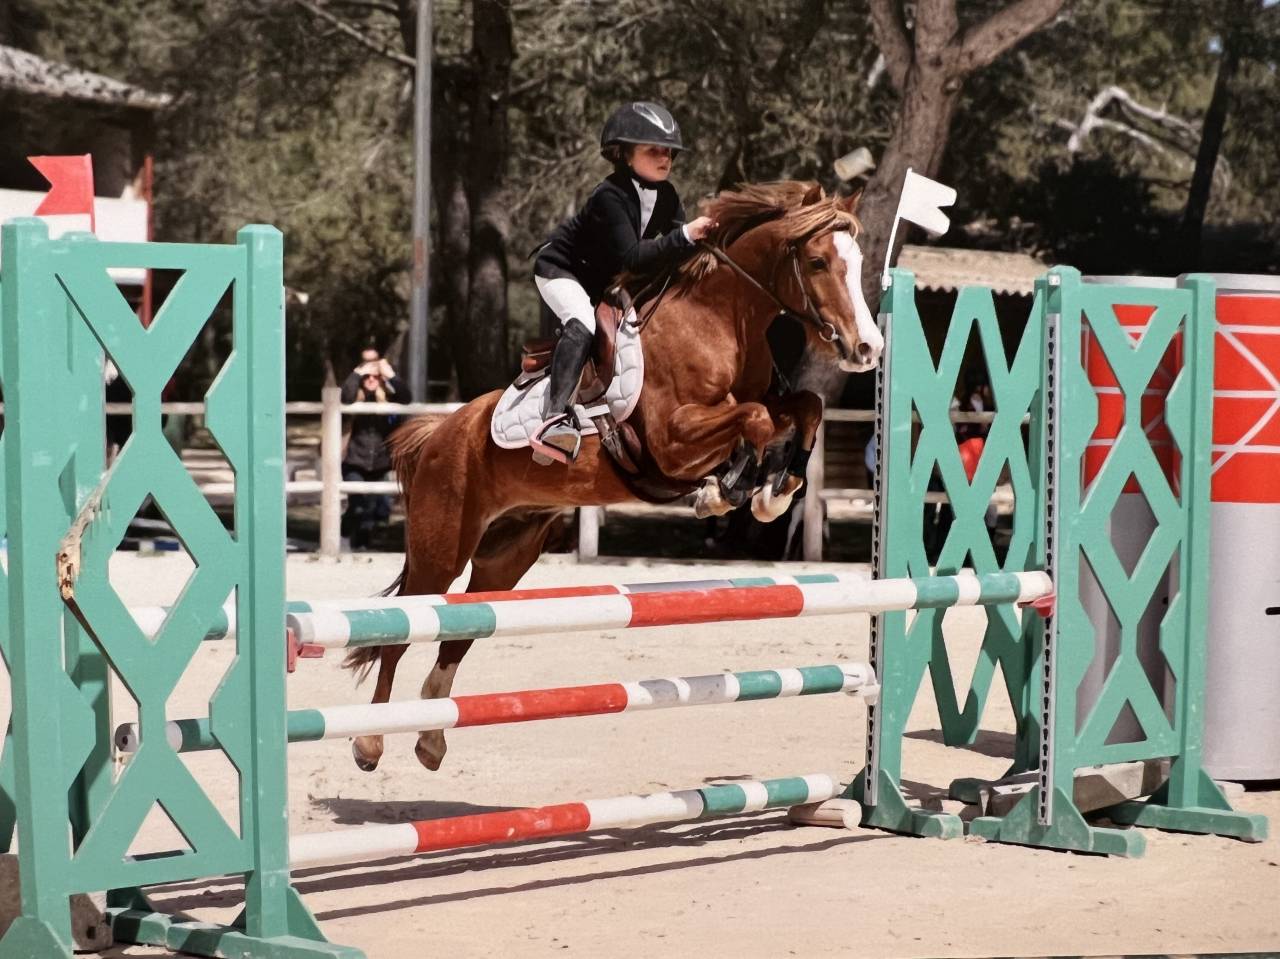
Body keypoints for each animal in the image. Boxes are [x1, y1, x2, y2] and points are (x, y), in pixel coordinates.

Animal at [345, 181, 883, 773]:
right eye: (817, 261)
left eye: (858, 262)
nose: (869, 349)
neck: (720, 321)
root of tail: (438, 435)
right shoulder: (673, 440)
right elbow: (757, 419)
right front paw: (726, 492)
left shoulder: (764, 404)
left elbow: (804, 407)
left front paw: (771, 491)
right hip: (442, 546)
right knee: (402, 630)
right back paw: (369, 743)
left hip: (505, 554)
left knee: (464, 627)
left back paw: (430, 737)